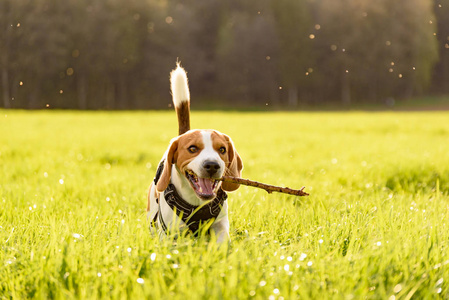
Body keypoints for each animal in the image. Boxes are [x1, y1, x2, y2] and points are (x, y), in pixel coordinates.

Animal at [148, 62, 243, 241]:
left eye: (222, 149)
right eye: (192, 148)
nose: (212, 165)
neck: (197, 203)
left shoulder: (220, 225)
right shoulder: (171, 231)